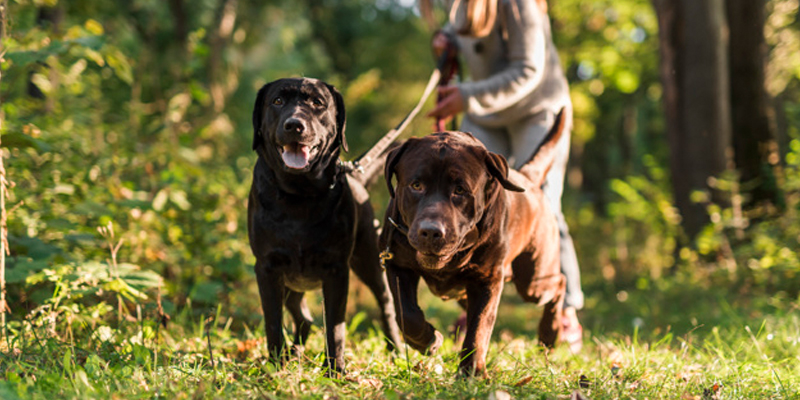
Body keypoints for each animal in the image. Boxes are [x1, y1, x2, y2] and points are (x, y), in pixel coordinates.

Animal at [247, 78, 404, 376]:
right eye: (277, 101)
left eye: (318, 103)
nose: (294, 124)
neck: (298, 195)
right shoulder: (267, 268)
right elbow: (273, 322)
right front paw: (275, 365)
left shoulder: (337, 270)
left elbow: (335, 326)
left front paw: (335, 370)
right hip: (291, 284)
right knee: (303, 318)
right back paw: (294, 353)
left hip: (369, 260)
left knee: (386, 305)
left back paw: (397, 350)